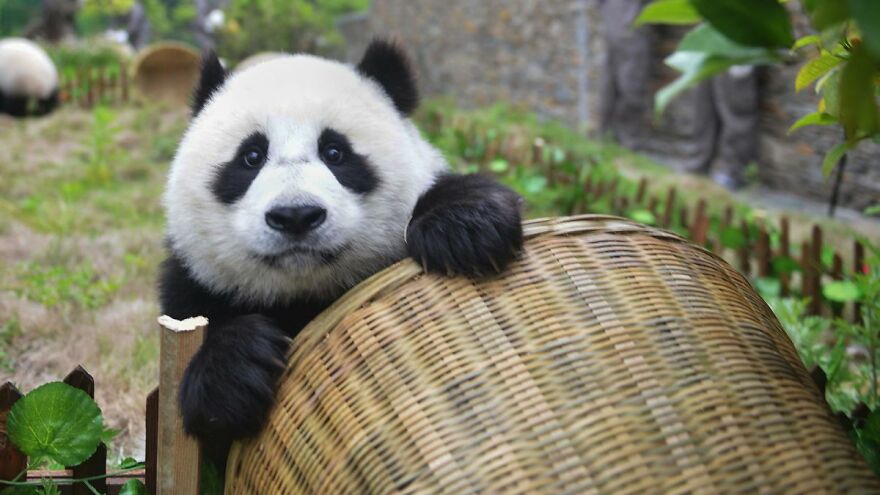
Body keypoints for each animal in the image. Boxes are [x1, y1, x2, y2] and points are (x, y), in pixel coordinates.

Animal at [160, 40, 523, 465]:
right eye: (251, 156)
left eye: (335, 152)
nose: (296, 215)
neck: (302, 295)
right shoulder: (194, 286)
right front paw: (234, 376)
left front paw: (465, 229)